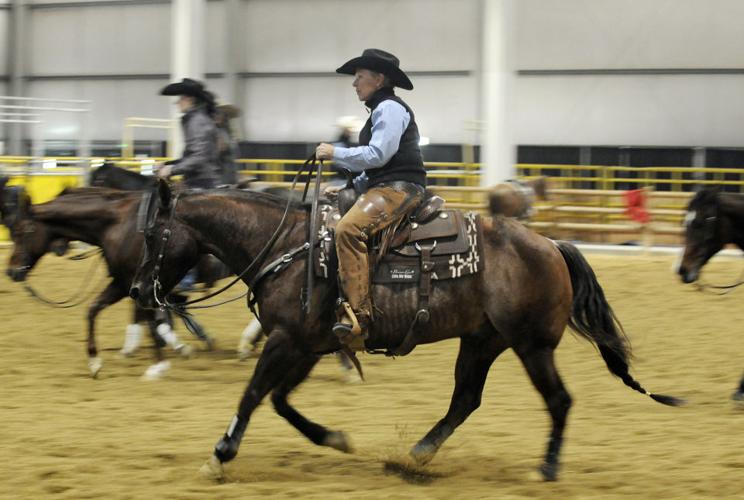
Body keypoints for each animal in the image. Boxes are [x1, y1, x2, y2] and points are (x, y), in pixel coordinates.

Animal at [0, 181, 208, 379]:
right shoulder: (123, 283)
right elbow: (93, 310)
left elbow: (149, 320)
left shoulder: (134, 284)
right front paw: (94, 362)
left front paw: (159, 365)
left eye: (21, 231)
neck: (118, 224)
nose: (11, 271)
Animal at [129, 179, 682, 481]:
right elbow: (281, 401)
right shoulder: (306, 344)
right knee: (465, 400)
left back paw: (545, 468)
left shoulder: (287, 341)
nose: (136, 289)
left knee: (559, 400)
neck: (287, 245)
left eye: (154, 234)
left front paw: (220, 456)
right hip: (482, 341)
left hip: (531, 345)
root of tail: (551, 245)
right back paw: (416, 454)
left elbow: (253, 395)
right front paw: (335, 437)